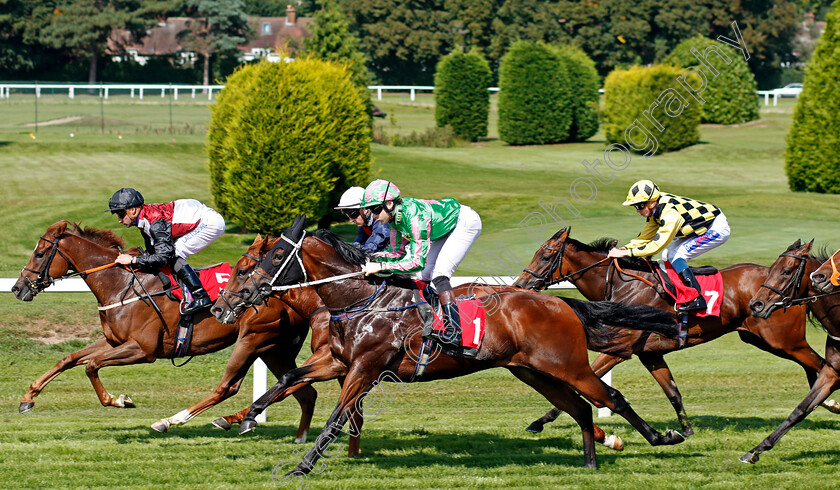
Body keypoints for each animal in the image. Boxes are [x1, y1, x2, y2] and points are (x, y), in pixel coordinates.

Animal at [12, 220, 322, 442]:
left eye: (40, 253)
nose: (17, 287)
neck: (121, 283)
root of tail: (295, 291)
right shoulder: (114, 341)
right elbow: (69, 359)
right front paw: (28, 398)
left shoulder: (143, 349)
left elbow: (91, 365)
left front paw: (119, 400)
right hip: (275, 349)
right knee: (303, 390)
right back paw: (297, 438)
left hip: (253, 338)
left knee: (228, 387)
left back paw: (172, 420)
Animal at [213, 215, 684, 474]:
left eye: (272, 259)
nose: (227, 304)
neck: (360, 298)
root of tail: (559, 301)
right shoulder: (338, 360)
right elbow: (290, 377)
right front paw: (242, 417)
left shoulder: (365, 369)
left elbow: (334, 419)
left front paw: (301, 467)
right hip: (533, 372)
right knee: (582, 408)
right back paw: (589, 461)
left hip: (567, 365)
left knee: (611, 397)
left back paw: (664, 436)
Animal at [512, 228, 832, 438]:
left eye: (545, 256)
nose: (520, 284)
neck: (625, 286)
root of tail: (797, 289)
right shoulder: (650, 354)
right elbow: (673, 392)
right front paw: (686, 430)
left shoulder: (620, 349)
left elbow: (582, 381)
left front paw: (540, 421)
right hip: (766, 341)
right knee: (813, 366)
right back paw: (829, 402)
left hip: (785, 340)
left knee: (819, 364)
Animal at [740, 241, 840, 464]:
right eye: (770, 269)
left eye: (786, 271)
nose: (756, 304)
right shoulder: (832, 372)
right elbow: (801, 409)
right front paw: (755, 451)